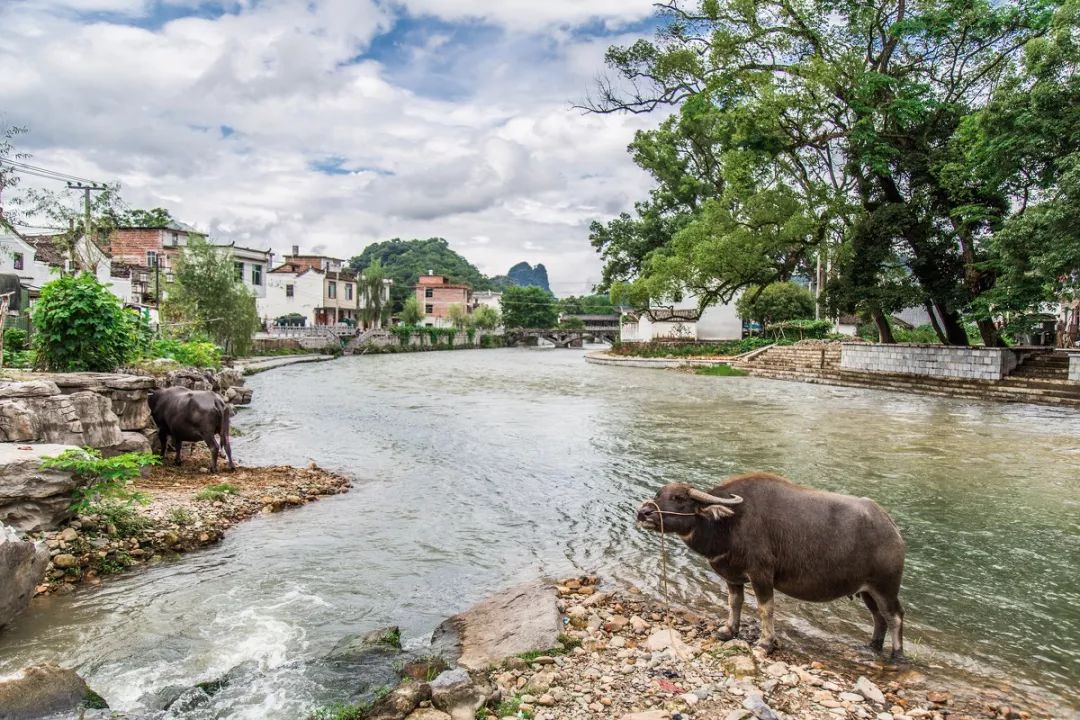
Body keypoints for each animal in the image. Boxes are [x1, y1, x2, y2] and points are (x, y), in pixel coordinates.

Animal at [635, 472, 907, 660]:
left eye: (679, 498)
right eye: (658, 494)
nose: (644, 512)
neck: (730, 524)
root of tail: (892, 528)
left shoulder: (761, 575)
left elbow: (765, 609)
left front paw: (766, 643)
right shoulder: (732, 577)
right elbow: (734, 603)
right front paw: (728, 630)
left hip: (886, 587)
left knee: (894, 617)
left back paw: (896, 654)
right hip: (867, 591)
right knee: (879, 619)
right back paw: (872, 647)